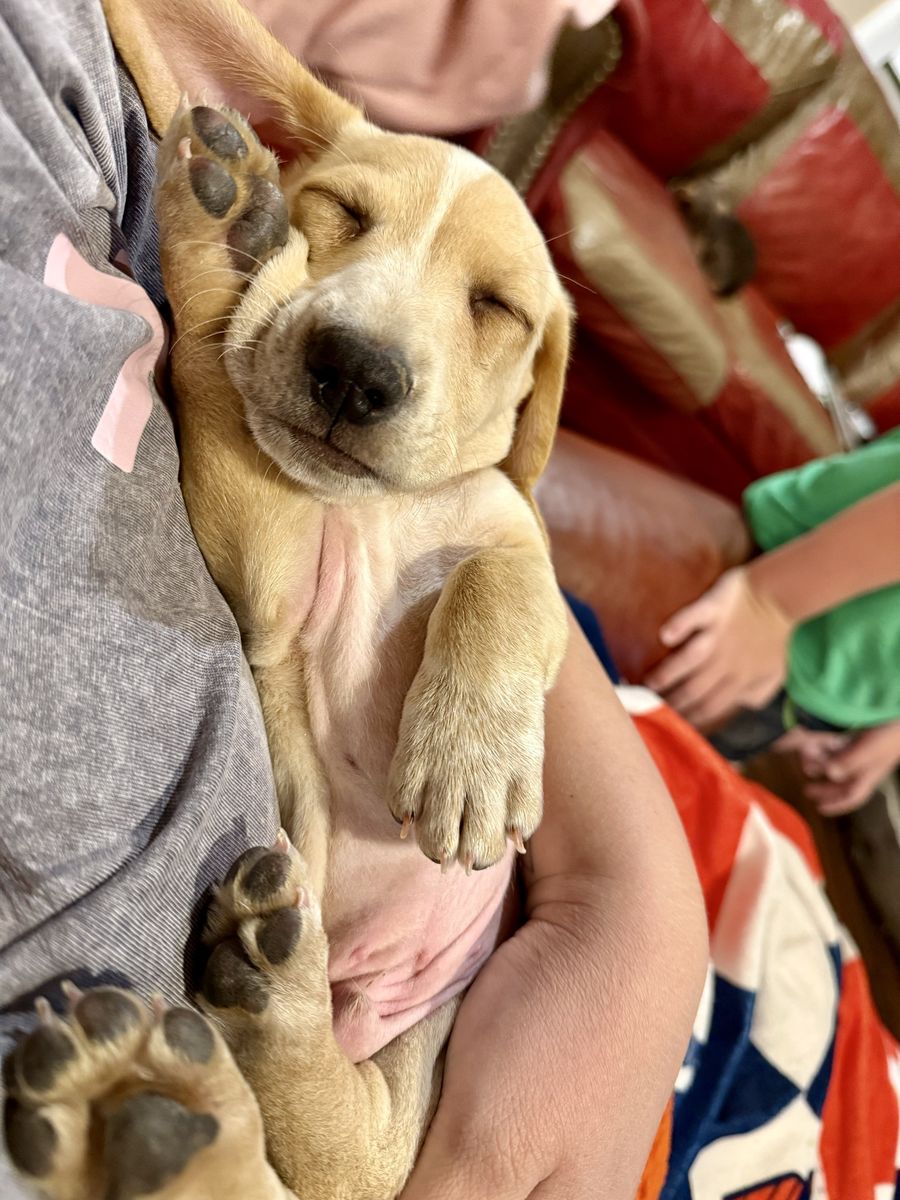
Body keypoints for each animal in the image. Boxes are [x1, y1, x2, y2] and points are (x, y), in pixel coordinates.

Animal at [4, 1, 571, 1196]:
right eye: (337, 211)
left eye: (495, 307)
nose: (357, 369)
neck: (373, 513)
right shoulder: (262, 585)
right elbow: (219, 383)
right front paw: (224, 241)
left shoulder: (520, 538)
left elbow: (500, 582)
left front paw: (470, 757)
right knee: (303, 1147)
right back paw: (176, 1097)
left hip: (407, 1064)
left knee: (338, 1145)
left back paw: (168, 1096)